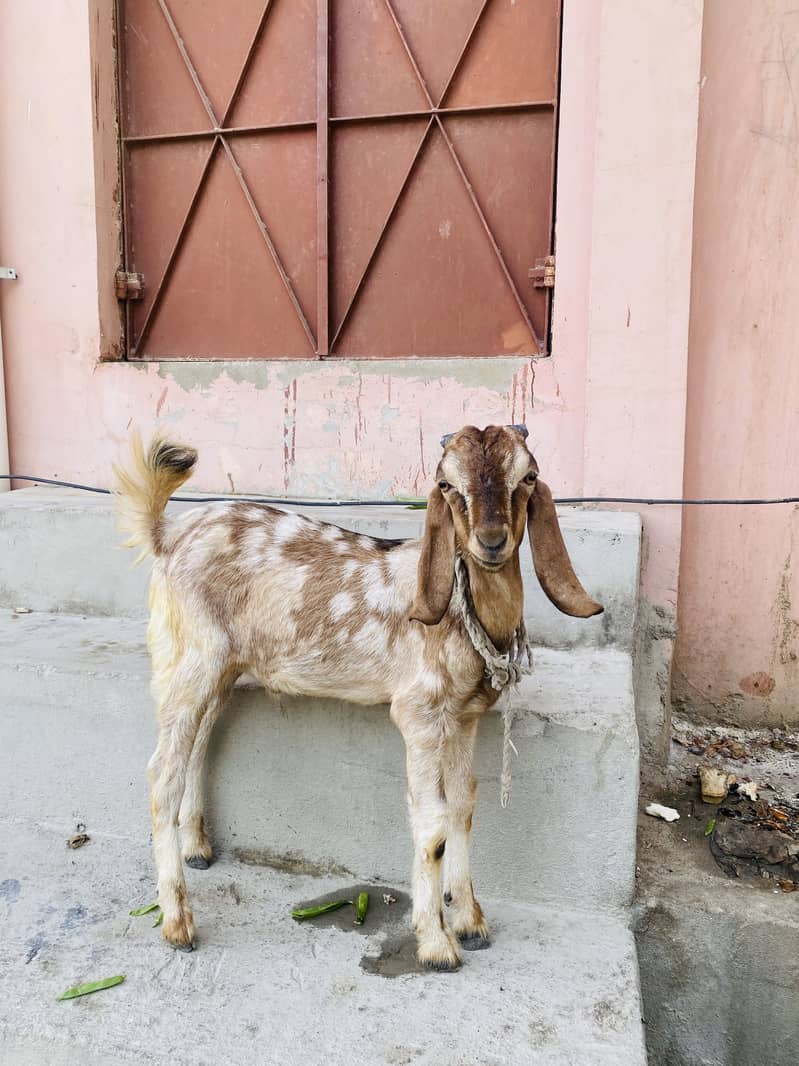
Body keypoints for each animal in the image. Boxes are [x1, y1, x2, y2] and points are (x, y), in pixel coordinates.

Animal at [114, 424, 602, 970]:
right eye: (446, 484)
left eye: (528, 476)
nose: (491, 542)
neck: (462, 609)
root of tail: (167, 535)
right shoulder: (419, 713)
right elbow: (433, 824)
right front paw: (437, 945)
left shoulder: (465, 717)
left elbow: (463, 806)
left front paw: (471, 921)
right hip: (192, 658)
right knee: (162, 773)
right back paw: (177, 922)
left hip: (220, 667)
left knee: (196, 745)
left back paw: (197, 848)